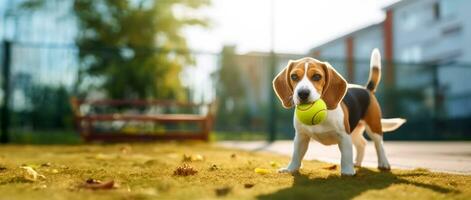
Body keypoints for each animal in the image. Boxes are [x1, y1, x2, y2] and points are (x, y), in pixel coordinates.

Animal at [274, 48, 408, 175]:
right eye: (294, 76)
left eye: (317, 76)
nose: (302, 93)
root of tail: (366, 89)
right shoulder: (301, 136)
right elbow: (296, 155)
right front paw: (290, 169)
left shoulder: (344, 136)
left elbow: (346, 156)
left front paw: (347, 172)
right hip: (354, 131)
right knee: (362, 143)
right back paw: (357, 163)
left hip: (373, 126)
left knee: (379, 144)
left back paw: (383, 163)